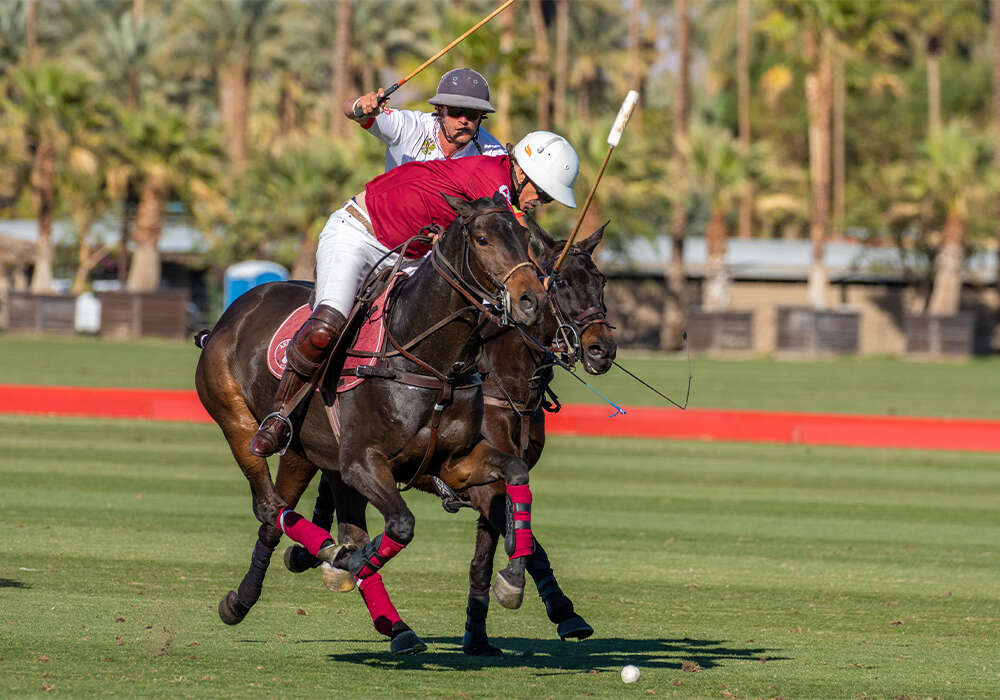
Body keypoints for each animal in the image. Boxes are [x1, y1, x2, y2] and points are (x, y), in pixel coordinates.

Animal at [196, 193, 548, 656]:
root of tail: (232, 313)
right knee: (271, 505)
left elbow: (515, 474)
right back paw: (333, 562)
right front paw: (345, 562)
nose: (531, 302)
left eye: (526, 238)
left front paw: (512, 579)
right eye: (483, 239)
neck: (430, 363)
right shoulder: (363, 462)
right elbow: (400, 526)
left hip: (309, 453)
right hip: (236, 419)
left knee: (285, 519)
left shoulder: (452, 463)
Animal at [282, 216, 616, 652]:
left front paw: (480, 632)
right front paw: (560, 610)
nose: (602, 349)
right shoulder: (477, 483)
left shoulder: (486, 473)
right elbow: (526, 544)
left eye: (601, 280)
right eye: (559, 283)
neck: (507, 382)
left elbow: (489, 554)